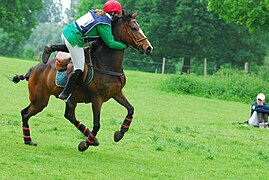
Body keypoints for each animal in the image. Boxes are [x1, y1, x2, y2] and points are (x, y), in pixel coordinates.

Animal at [12, 10, 153, 152]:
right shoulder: (97, 99)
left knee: (69, 116)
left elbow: (131, 109)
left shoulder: (116, 93)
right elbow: (97, 124)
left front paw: (119, 134)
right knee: (25, 113)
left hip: (69, 100)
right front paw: (85, 144)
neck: (105, 63)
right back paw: (29, 140)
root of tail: (33, 69)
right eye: (133, 28)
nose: (148, 48)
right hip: (40, 100)